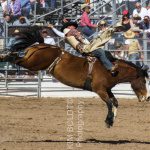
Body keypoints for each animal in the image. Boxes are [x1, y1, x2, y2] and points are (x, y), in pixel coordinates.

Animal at [0, 43, 149, 127]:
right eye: (143, 81)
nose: (147, 97)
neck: (111, 70)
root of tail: (38, 45)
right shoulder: (100, 90)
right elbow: (109, 103)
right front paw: (108, 121)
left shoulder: (107, 89)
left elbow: (115, 102)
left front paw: (111, 121)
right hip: (33, 63)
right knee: (16, 59)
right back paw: (5, 56)